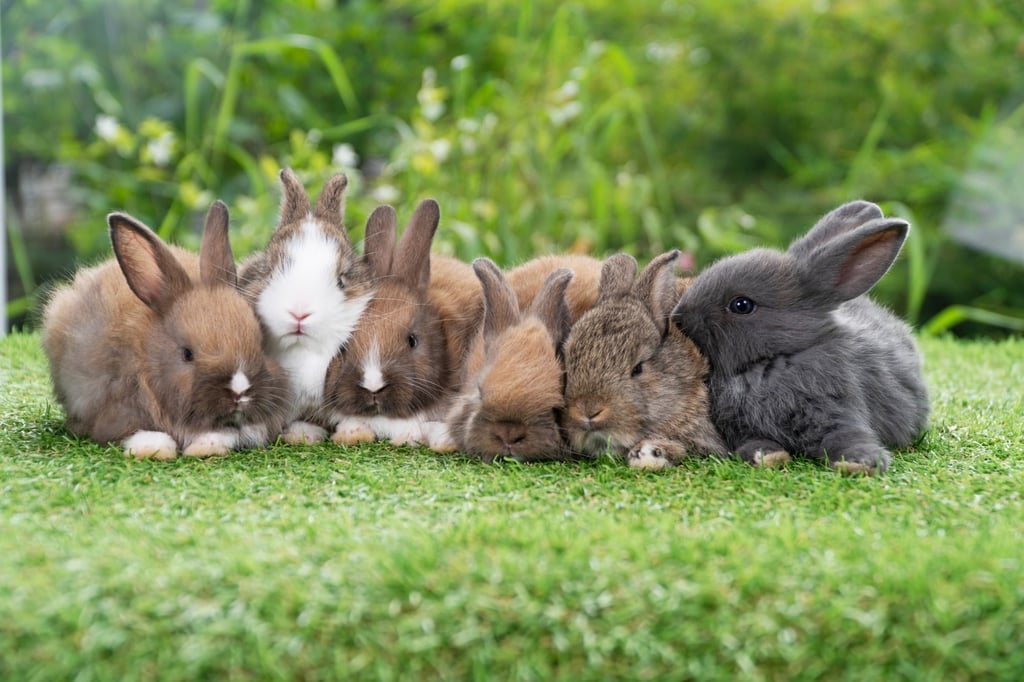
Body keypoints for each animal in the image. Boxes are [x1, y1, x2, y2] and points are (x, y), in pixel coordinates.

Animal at [41, 201, 291, 460]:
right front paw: (156, 449)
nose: (239, 391)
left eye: (260, 343)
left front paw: (208, 445)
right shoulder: (116, 409)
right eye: (187, 354)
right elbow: (140, 432)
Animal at [670, 200, 930, 475]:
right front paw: (767, 456)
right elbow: (754, 441)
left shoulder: (838, 410)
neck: (774, 361)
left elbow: (846, 437)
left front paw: (861, 463)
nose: (679, 317)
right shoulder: (742, 428)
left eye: (741, 305)